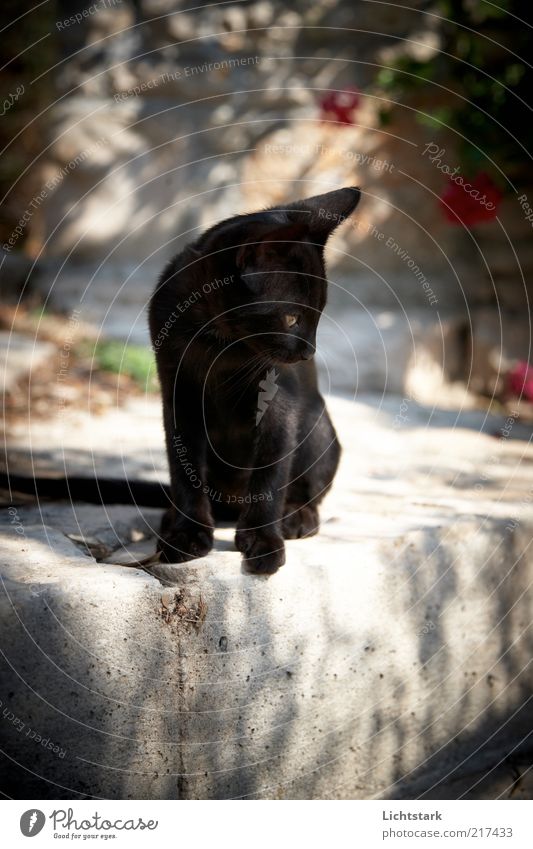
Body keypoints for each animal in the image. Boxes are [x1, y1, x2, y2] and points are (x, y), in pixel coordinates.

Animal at [148, 185, 360, 568]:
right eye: (291, 318)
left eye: (318, 313)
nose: (308, 352)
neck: (219, 340)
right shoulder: (178, 392)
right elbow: (185, 468)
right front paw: (187, 534)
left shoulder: (280, 401)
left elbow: (270, 472)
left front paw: (262, 541)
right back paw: (172, 518)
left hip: (319, 425)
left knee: (309, 491)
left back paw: (297, 518)